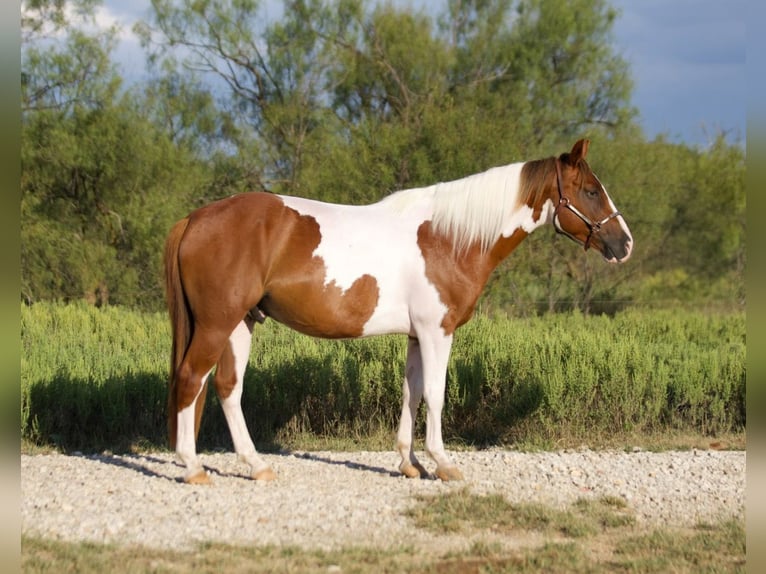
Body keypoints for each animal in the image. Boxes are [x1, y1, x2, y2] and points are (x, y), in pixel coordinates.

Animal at [164, 139, 633, 484]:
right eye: (591, 191)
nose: (624, 243)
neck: (449, 237)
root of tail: (194, 218)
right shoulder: (437, 331)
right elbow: (436, 394)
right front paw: (443, 464)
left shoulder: (415, 335)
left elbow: (411, 392)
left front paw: (411, 464)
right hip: (217, 324)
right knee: (192, 379)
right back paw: (193, 467)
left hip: (241, 323)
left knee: (227, 387)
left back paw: (257, 466)